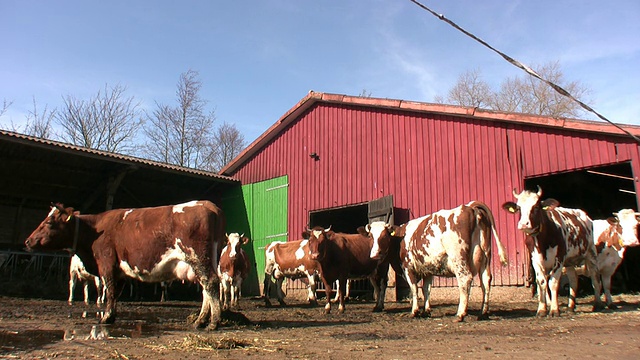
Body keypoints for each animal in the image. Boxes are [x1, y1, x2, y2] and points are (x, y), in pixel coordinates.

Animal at [23, 200, 226, 330]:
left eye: (49, 222)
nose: (27, 241)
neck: (94, 230)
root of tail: (206, 204)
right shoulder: (120, 271)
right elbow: (115, 292)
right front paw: (111, 315)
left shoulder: (107, 264)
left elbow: (110, 291)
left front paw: (106, 317)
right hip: (204, 261)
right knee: (206, 289)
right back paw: (200, 321)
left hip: (198, 257)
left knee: (211, 283)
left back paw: (214, 322)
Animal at [372, 201, 508, 322]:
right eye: (371, 237)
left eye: (384, 236)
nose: (374, 254)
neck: (400, 239)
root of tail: (470, 206)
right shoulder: (427, 270)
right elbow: (426, 290)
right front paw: (426, 311)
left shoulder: (407, 267)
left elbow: (414, 289)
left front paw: (414, 311)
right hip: (485, 258)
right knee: (486, 281)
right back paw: (483, 313)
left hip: (459, 259)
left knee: (465, 280)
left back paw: (460, 314)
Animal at [502, 187, 604, 316]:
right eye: (519, 207)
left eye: (536, 207)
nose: (524, 224)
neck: (541, 241)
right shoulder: (535, 260)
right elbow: (541, 282)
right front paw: (542, 310)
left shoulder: (559, 258)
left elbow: (553, 283)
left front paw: (554, 310)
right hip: (569, 261)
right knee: (573, 279)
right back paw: (570, 307)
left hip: (591, 253)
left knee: (595, 278)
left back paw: (598, 304)